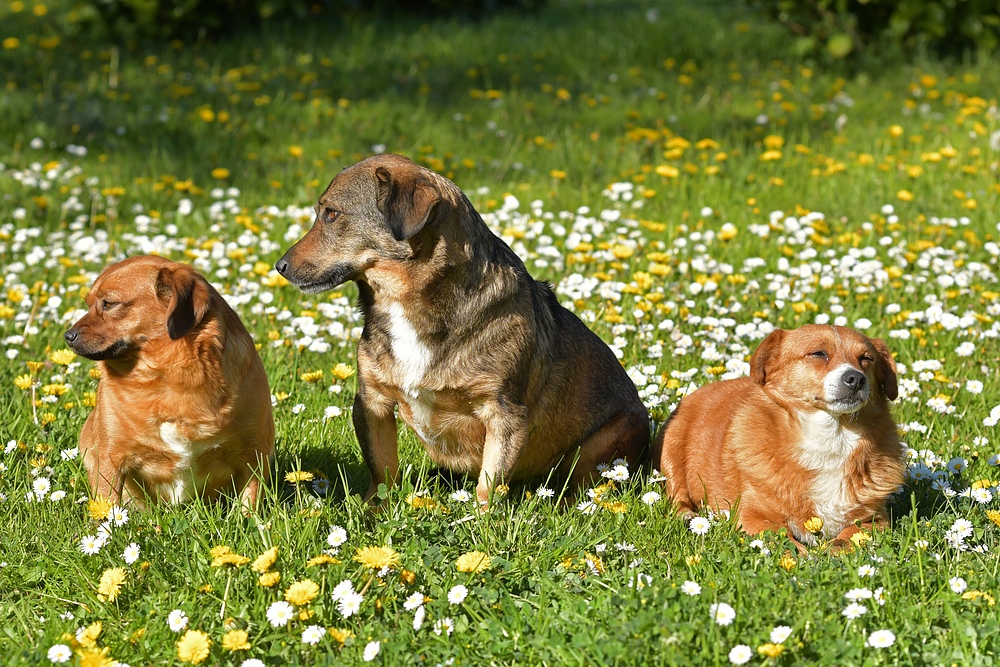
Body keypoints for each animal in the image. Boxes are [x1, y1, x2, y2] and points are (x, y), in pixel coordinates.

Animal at [65, 256, 274, 506]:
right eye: (88, 304)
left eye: (108, 304)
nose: (67, 336)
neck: (170, 377)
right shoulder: (110, 458)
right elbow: (108, 506)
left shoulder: (253, 455)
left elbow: (249, 504)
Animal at [274, 154, 648, 504]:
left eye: (331, 214)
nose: (280, 266)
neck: (404, 302)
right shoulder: (372, 401)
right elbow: (382, 473)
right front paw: (372, 513)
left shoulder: (504, 415)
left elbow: (488, 484)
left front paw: (480, 523)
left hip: (607, 442)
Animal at [652, 324, 904, 548]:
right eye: (818, 353)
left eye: (866, 359)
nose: (856, 379)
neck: (831, 436)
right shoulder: (751, 516)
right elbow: (786, 542)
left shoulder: (876, 520)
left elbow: (850, 537)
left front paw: (834, 550)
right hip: (671, 449)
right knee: (676, 492)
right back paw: (685, 514)